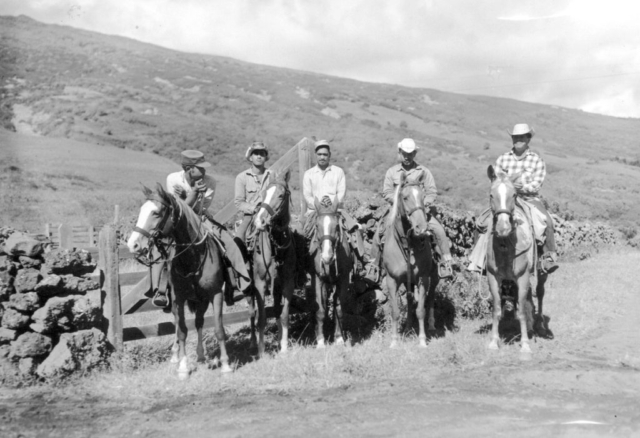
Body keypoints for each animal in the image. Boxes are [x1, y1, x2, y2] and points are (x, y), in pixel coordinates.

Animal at [127, 183, 232, 378]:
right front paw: (183, 367)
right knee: (177, 324)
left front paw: (226, 364)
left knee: (199, 322)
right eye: (141, 210)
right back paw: (176, 356)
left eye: (156, 213)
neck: (193, 258)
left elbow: (218, 329)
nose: (133, 245)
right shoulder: (179, 297)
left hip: (201, 300)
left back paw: (200, 355)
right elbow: (182, 331)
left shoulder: (216, 294)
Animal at [308, 197, 352, 348]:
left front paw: (338, 338)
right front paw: (321, 341)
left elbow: (339, 309)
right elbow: (320, 311)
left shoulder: (343, 281)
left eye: (336, 226)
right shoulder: (318, 280)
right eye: (317, 225)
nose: (327, 257)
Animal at [380, 173, 440, 348]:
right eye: (405, 197)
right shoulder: (392, 280)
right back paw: (407, 326)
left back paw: (431, 324)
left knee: (431, 297)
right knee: (409, 299)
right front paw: (394, 341)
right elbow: (395, 311)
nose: (422, 228)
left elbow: (421, 310)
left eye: (422, 196)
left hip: (434, 277)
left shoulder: (423, 278)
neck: (407, 245)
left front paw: (422, 340)